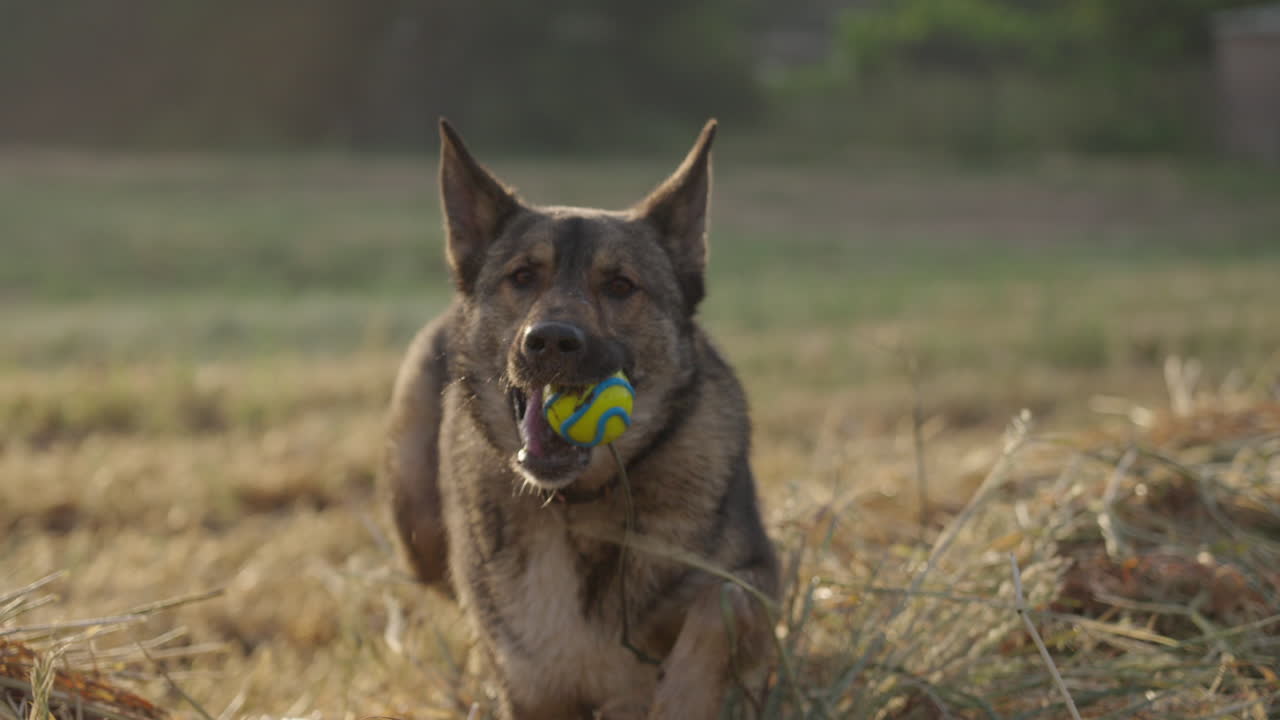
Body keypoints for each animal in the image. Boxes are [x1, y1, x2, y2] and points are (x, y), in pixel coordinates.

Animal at [384, 119, 780, 719]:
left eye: (619, 286)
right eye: (523, 276)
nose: (549, 341)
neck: (574, 504)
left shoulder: (762, 576)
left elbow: (722, 604)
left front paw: (682, 696)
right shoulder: (534, 691)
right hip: (419, 529)